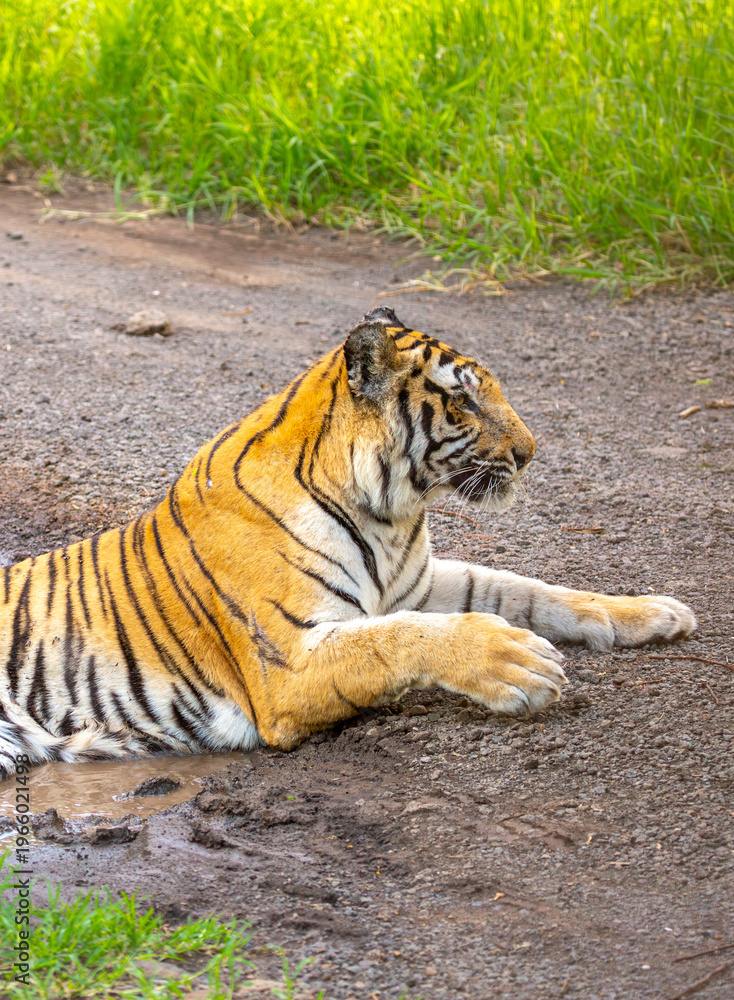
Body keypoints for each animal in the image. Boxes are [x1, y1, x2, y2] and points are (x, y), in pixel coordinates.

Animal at [0, 307, 696, 778]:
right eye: (463, 402)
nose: (531, 454)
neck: (391, 514)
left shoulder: (418, 582)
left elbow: (520, 589)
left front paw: (652, 612)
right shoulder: (286, 666)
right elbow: (395, 640)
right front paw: (514, 661)